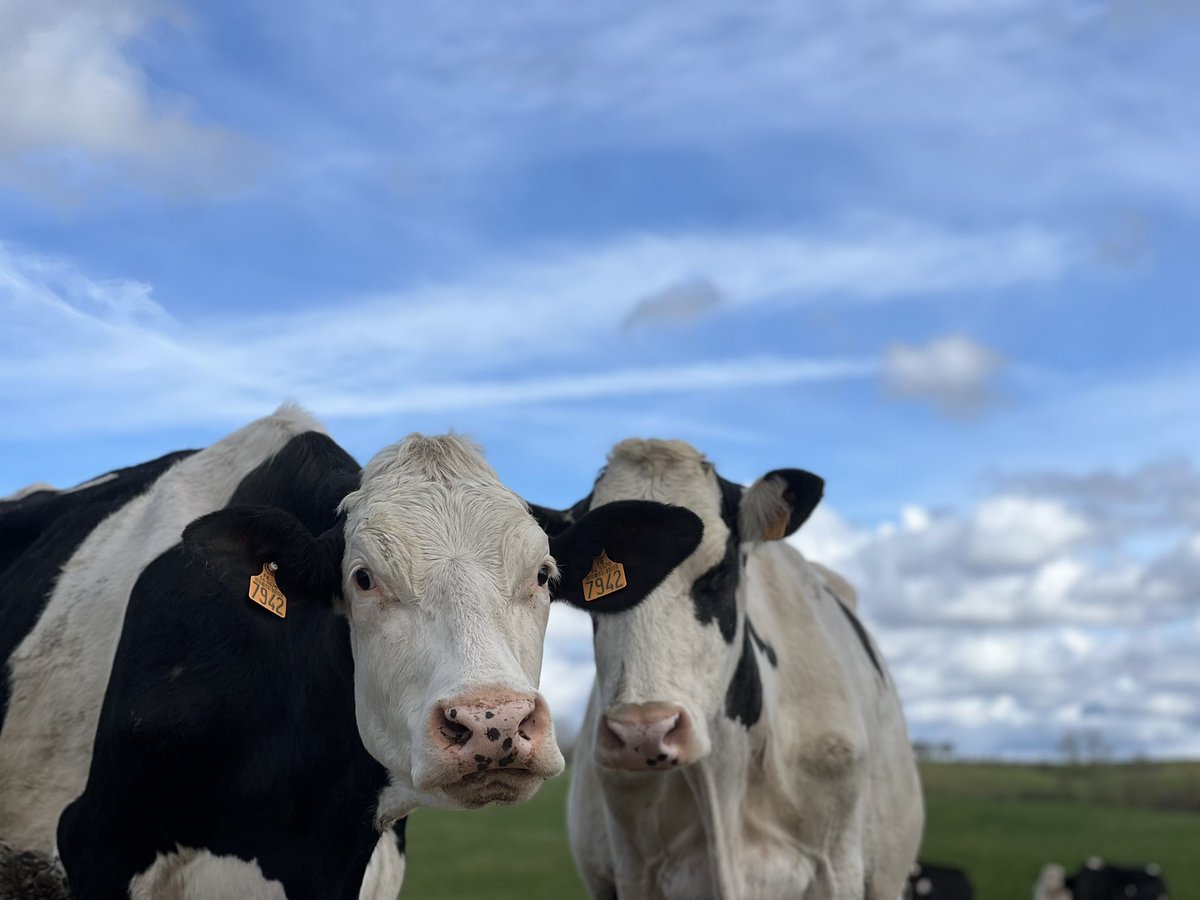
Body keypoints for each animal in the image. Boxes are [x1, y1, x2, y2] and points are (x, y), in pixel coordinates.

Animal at [543, 439, 923, 900]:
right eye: (598, 591)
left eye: (720, 571)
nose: (642, 733)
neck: (721, 778)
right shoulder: (634, 871)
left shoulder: (836, 867)